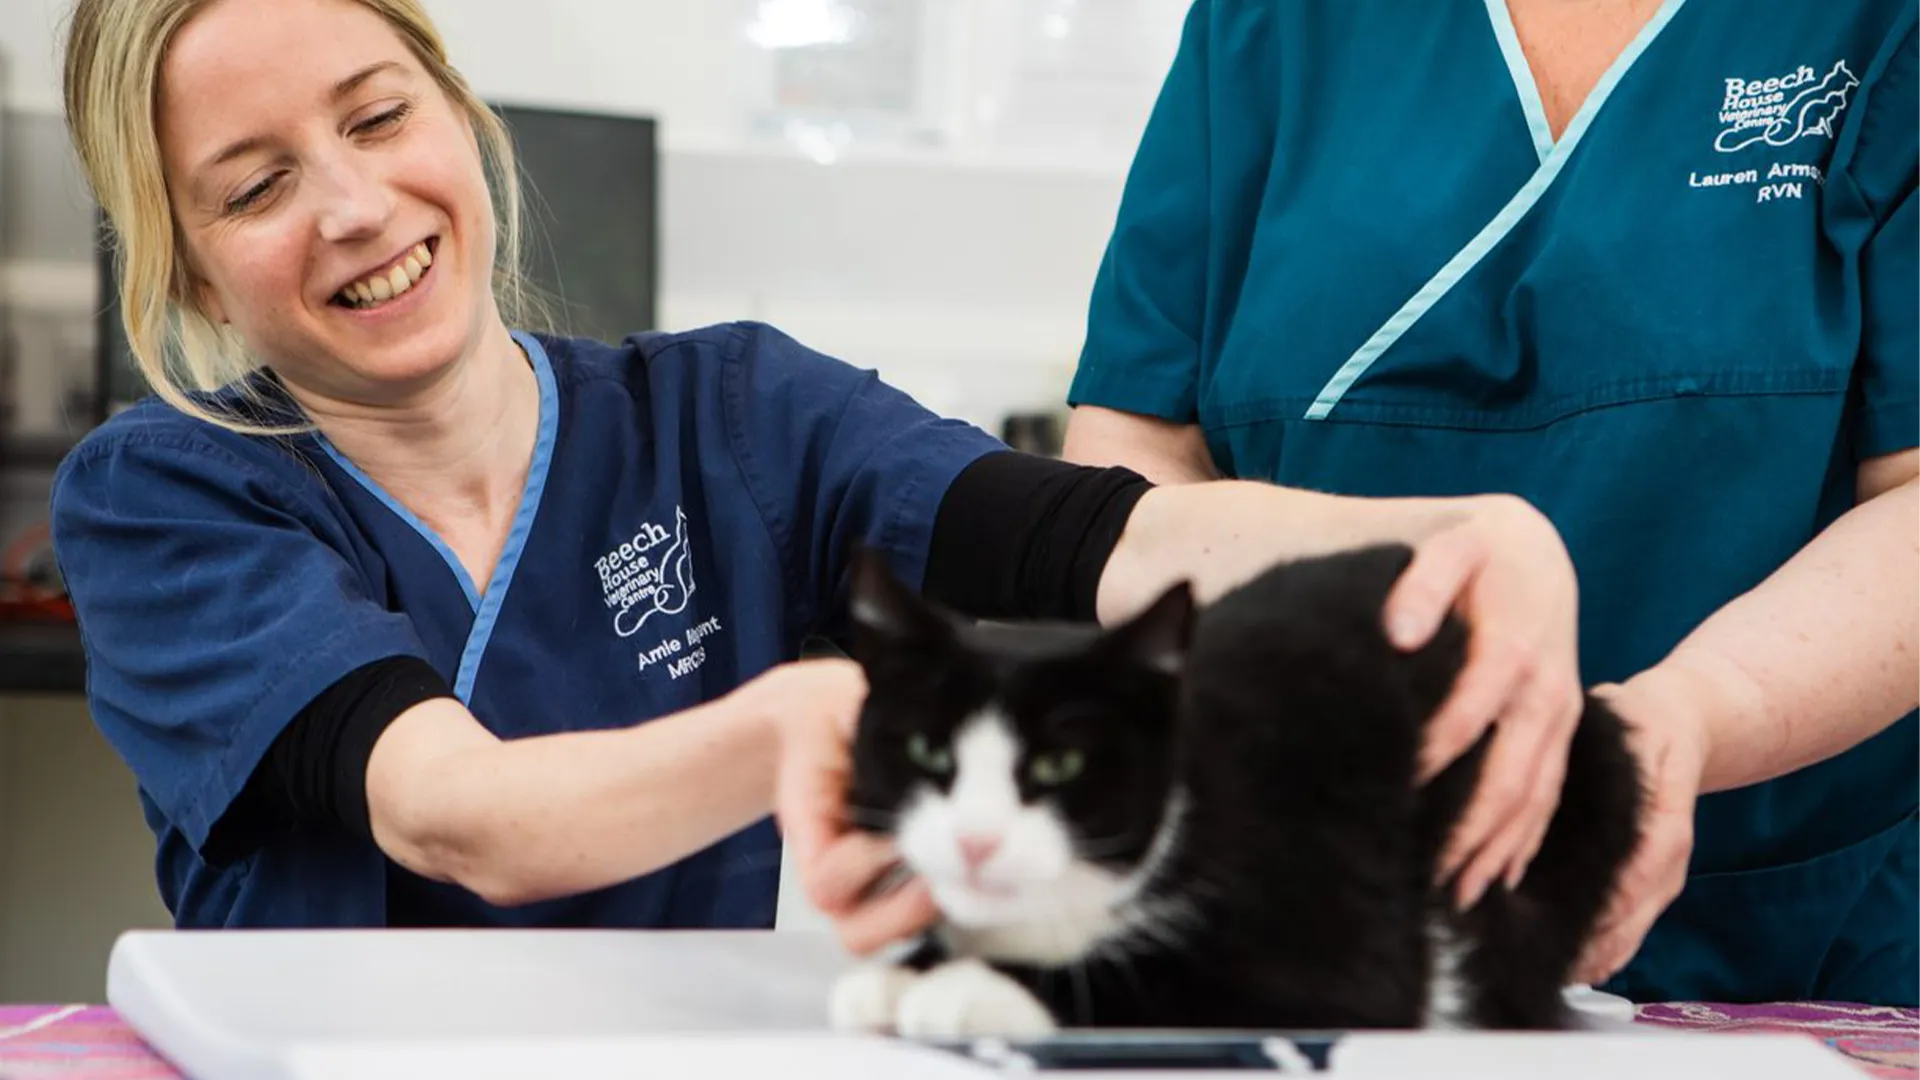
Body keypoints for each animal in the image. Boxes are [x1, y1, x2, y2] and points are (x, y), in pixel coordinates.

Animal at [833, 545, 1643, 1037]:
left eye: (1060, 765)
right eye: (928, 750)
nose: (975, 841)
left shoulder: (1340, 941)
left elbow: (1159, 988)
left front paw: (975, 988)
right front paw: (905, 974)